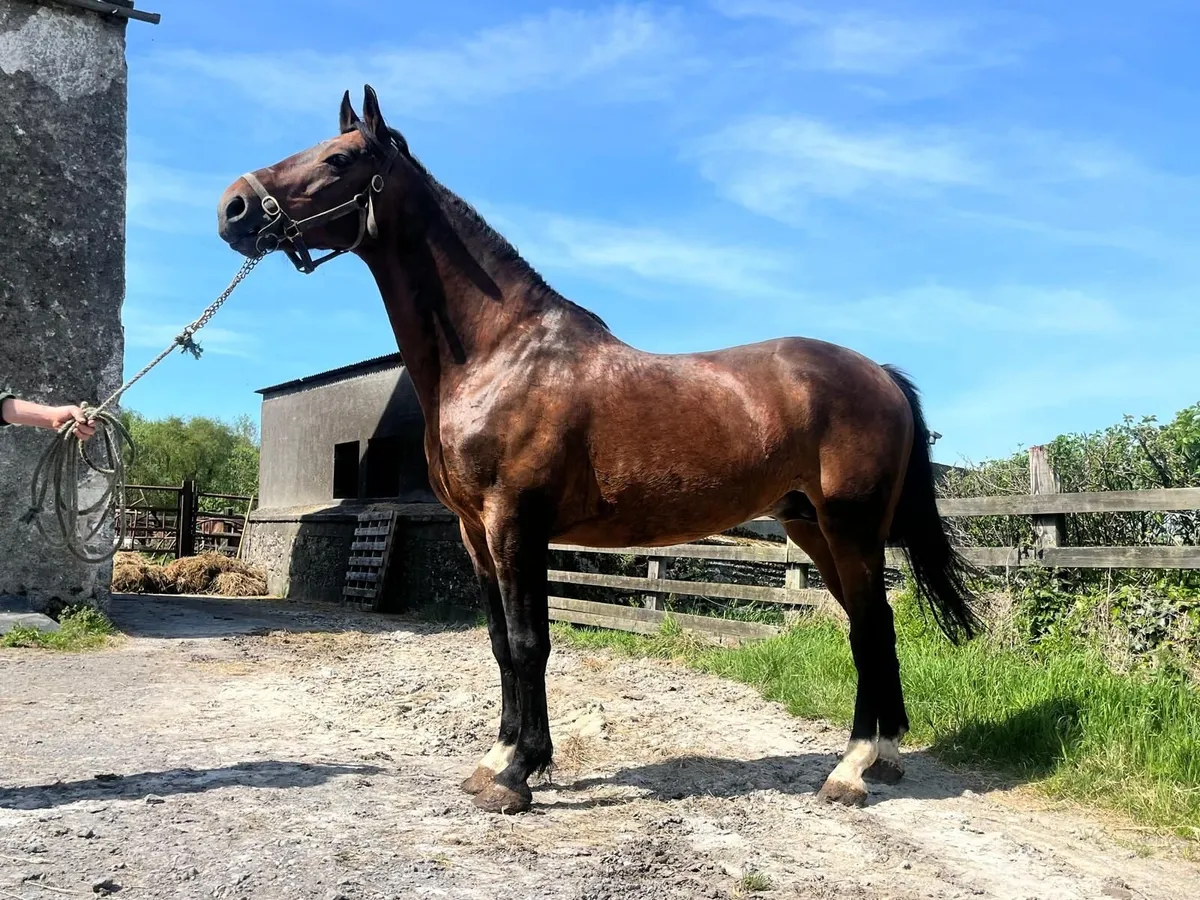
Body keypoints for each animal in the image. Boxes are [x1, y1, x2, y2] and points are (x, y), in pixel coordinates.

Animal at [217, 85, 979, 815]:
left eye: (340, 159)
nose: (233, 208)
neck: (500, 352)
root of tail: (879, 374)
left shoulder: (516, 524)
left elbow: (531, 643)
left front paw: (518, 774)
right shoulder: (474, 533)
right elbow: (501, 644)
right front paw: (499, 758)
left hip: (851, 527)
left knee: (870, 628)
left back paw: (850, 771)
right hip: (813, 527)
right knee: (873, 624)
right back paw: (883, 758)